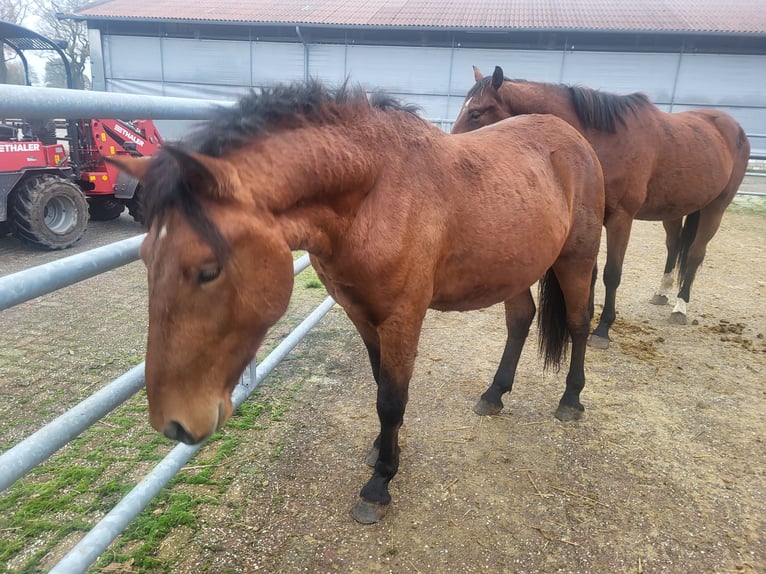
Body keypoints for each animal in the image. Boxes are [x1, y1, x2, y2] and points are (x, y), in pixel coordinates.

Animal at [109, 81, 608, 528]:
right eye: (147, 257)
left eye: (208, 269)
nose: (173, 423)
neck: (377, 193)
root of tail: (573, 138)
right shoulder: (362, 314)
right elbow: (379, 387)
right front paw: (383, 451)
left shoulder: (403, 318)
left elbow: (392, 399)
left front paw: (379, 485)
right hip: (514, 269)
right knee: (521, 319)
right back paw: (494, 394)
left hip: (576, 259)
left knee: (579, 321)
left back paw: (570, 400)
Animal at [452, 65, 752, 348]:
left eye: (476, 112)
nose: (455, 150)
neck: (606, 141)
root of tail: (735, 128)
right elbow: (593, 274)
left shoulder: (621, 218)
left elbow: (611, 273)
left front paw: (603, 328)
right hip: (674, 210)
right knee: (674, 245)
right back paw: (662, 292)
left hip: (715, 208)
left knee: (695, 254)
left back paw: (680, 306)